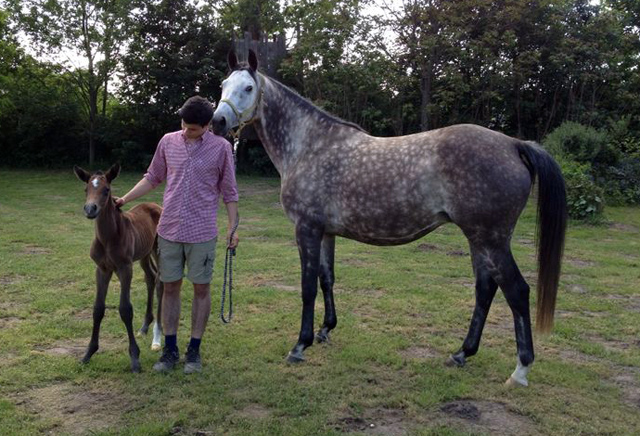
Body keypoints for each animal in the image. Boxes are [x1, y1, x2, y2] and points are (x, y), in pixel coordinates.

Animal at [74, 164, 162, 372]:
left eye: (106, 190)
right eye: (86, 189)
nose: (90, 209)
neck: (108, 238)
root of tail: (156, 206)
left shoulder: (125, 268)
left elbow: (125, 309)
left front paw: (135, 358)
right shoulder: (102, 269)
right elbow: (98, 309)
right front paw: (88, 353)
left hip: (158, 250)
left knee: (160, 282)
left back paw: (157, 332)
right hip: (144, 254)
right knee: (151, 277)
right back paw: (145, 327)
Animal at [212, 49, 568, 386]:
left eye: (248, 88)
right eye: (222, 85)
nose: (218, 121)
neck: (309, 146)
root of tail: (514, 144)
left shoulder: (307, 229)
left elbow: (307, 287)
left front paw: (301, 345)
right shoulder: (326, 232)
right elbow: (327, 279)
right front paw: (326, 330)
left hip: (491, 239)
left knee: (517, 292)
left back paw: (520, 370)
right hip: (479, 239)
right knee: (485, 289)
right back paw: (462, 353)